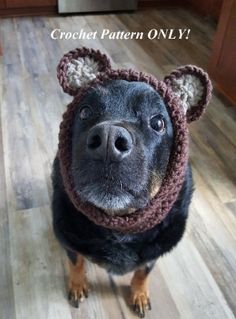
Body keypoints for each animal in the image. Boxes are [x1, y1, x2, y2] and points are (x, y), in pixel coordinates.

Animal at [52, 80, 194, 318]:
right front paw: (78, 284)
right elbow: (76, 262)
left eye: (158, 122)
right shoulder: (68, 238)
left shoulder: (154, 250)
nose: (108, 141)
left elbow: (144, 271)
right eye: (85, 112)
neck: (119, 228)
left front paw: (139, 293)